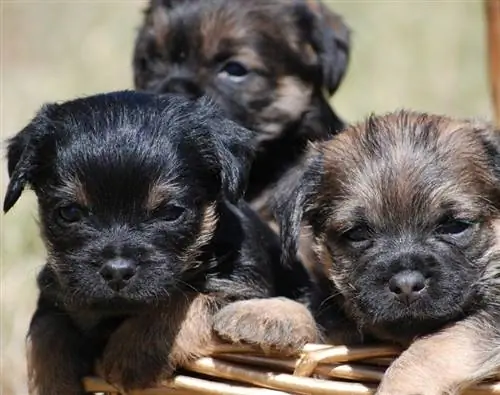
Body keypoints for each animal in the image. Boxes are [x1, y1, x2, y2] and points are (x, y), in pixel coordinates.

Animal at [2, 91, 316, 394]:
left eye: (170, 212)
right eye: (69, 213)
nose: (117, 271)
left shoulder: (244, 287)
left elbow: (184, 301)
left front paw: (132, 353)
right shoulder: (55, 289)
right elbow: (44, 329)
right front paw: (52, 383)